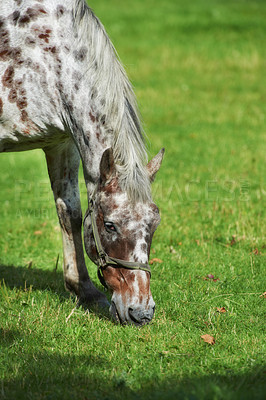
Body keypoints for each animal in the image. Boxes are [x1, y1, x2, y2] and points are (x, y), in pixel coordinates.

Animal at [0, 0, 164, 324]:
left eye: (154, 223)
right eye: (110, 225)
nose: (140, 312)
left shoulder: (61, 143)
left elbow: (70, 214)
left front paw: (84, 289)